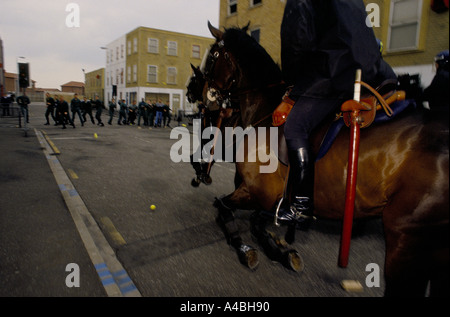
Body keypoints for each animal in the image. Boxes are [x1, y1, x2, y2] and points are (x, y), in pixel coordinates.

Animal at [192, 22, 446, 296]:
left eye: (212, 57)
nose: (204, 99)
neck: (265, 114)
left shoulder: (256, 193)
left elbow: (226, 210)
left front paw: (248, 249)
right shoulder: (266, 198)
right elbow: (251, 220)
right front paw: (280, 251)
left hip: (406, 239)